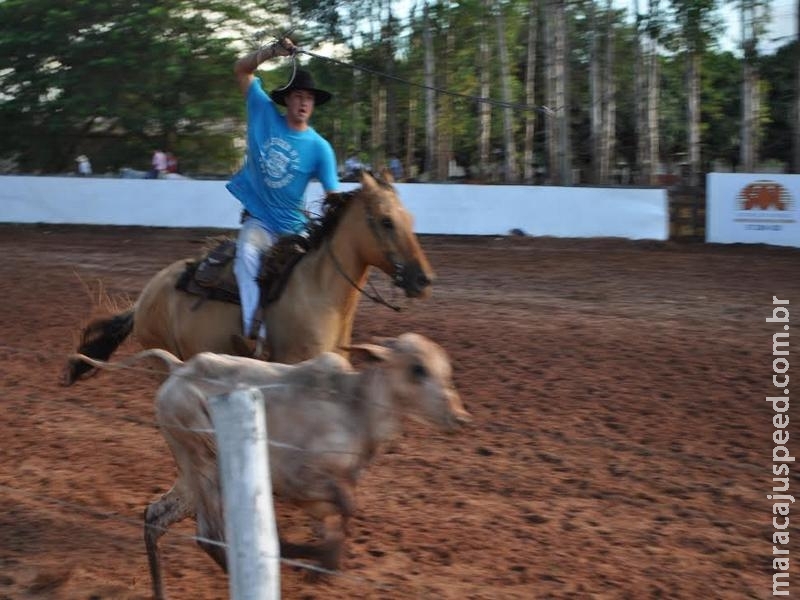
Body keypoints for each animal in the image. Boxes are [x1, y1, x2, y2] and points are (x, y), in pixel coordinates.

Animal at [65, 170, 434, 384]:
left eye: (410, 218)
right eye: (386, 221)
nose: (423, 280)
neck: (318, 294)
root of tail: (146, 295)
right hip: (163, 359)